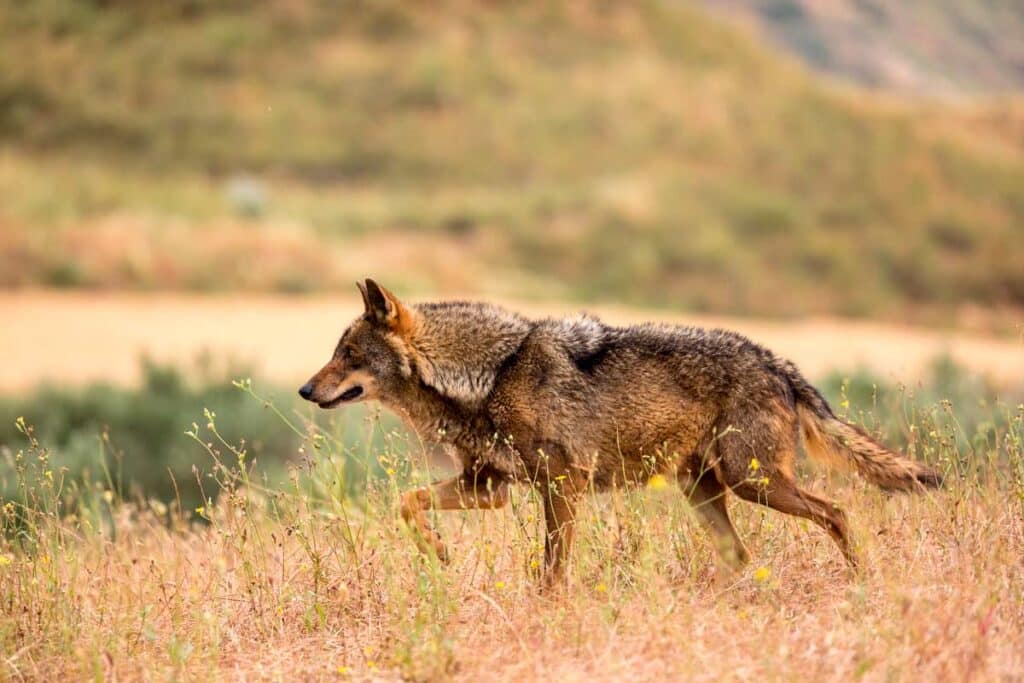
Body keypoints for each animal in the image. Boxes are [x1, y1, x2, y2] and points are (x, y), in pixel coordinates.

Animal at [299, 279, 940, 583]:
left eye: (348, 355)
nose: (305, 390)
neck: (493, 372)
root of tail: (777, 362)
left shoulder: (562, 487)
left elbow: (553, 568)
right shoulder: (491, 488)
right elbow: (405, 503)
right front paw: (438, 553)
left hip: (752, 483)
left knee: (837, 512)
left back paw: (860, 578)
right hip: (706, 491)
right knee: (741, 554)